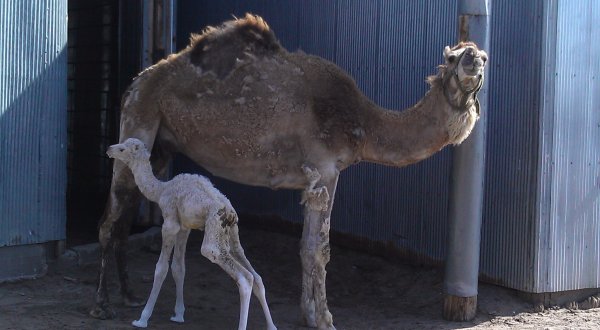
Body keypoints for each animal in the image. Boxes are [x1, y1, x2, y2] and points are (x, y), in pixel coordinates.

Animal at [106, 138, 276, 328]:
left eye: (122, 149)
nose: (109, 149)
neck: (161, 190)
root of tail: (230, 213)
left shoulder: (170, 223)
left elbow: (161, 268)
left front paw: (142, 319)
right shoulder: (185, 227)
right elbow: (179, 267)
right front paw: (178, 315)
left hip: (213, 236)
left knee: (243, 278)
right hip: (232, 235)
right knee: (256, 276)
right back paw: (272, 326)